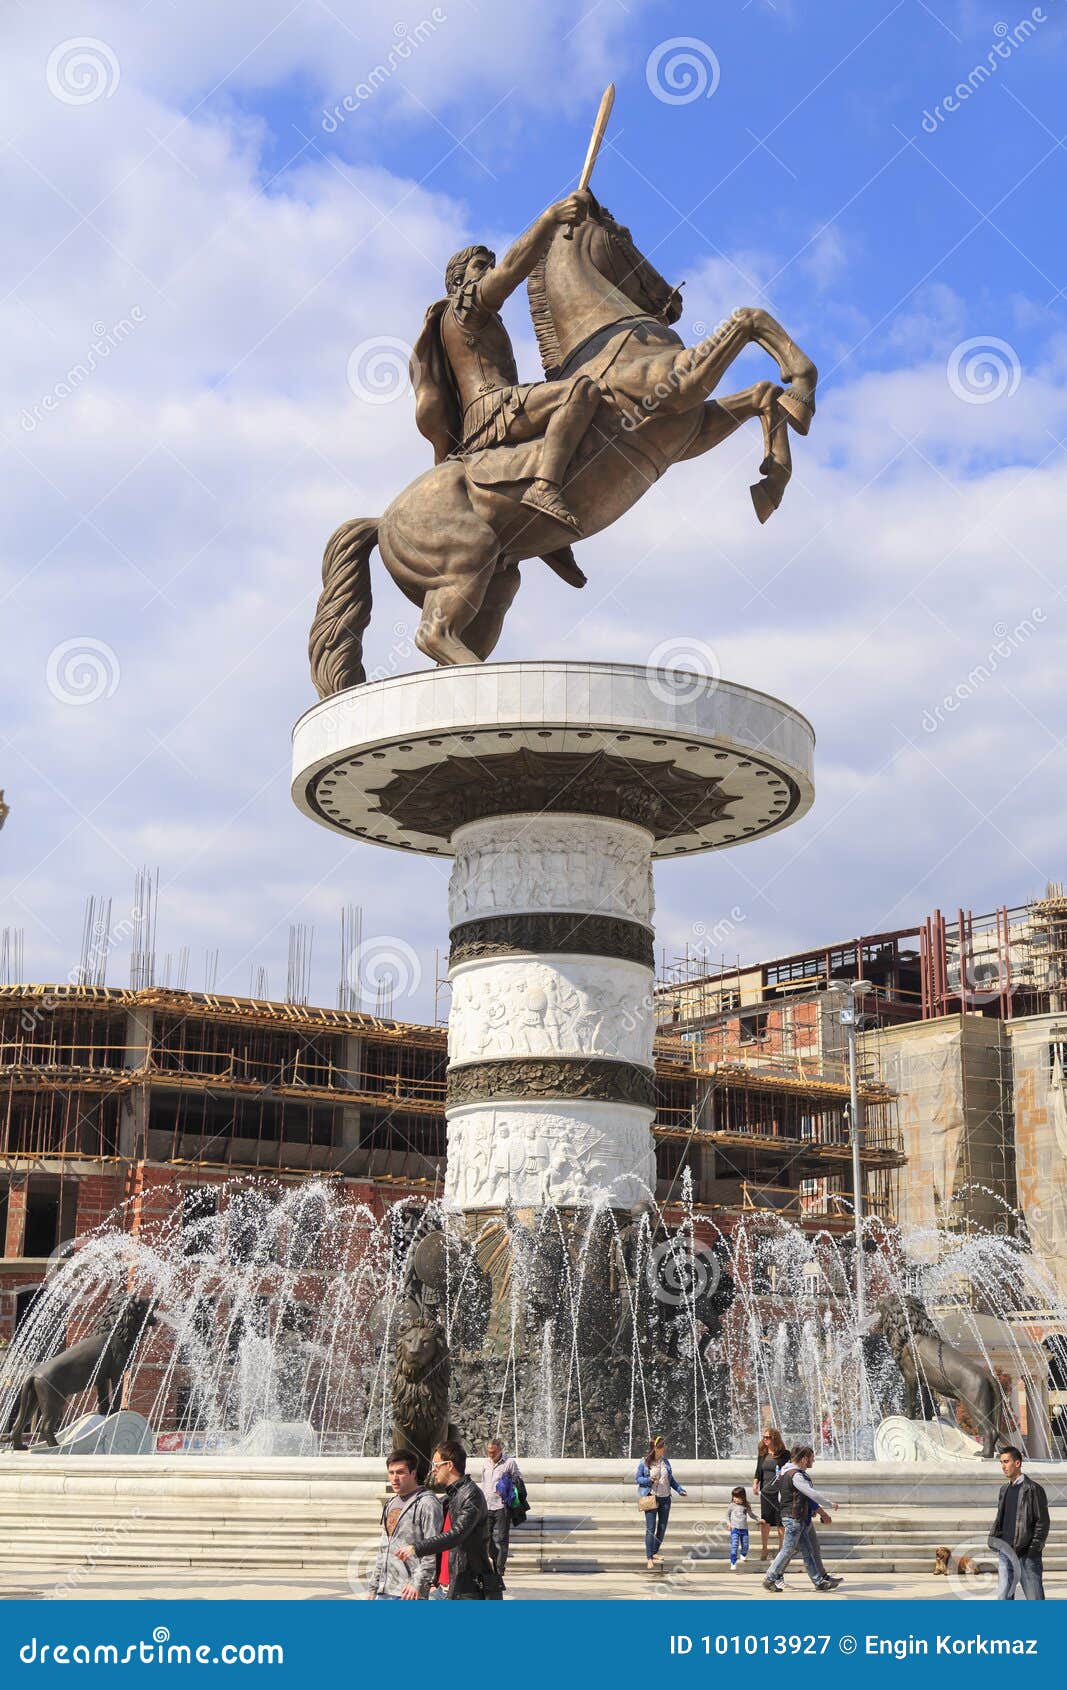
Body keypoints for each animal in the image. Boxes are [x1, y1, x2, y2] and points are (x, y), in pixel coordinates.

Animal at [309, 199, 818, 692]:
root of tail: (381, 522)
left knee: (447, 644)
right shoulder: (676, 385)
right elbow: (749, 318)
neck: (608, 333)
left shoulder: (689, 430)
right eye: (625, 235)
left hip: (498, 584)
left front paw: (773, 477)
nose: (672, 302)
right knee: (433, 634)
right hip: (465, 566)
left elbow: (761, 395)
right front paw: (803, 389)